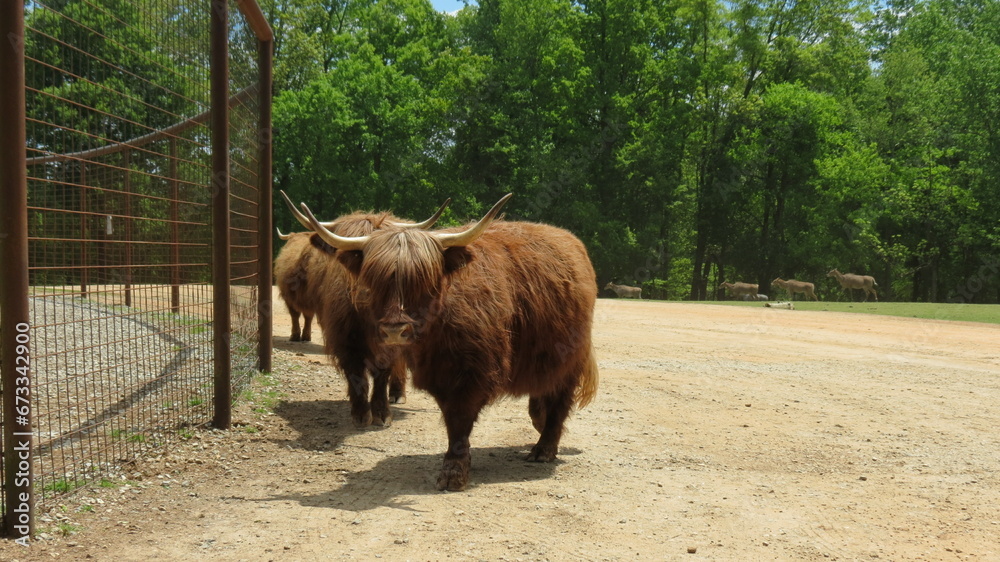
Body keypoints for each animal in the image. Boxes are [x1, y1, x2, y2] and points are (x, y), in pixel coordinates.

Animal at [277, 190, 449, 427]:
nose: (363, 291)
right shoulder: (344, 335)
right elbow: (356, 373)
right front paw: (360, 413)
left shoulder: (392, 338)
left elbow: (383, 372)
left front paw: (382, 413)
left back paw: (397, 393)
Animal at [298, 193, 599, 491]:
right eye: (375, 280)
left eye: (421, 280)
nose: (395, 330)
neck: (437, 330)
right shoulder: (437, 373)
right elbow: (450, 417)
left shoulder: (472, 371)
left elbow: (459, 418)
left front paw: (454, 472)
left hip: (570, 358)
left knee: (559, 400)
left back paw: (543, 449)